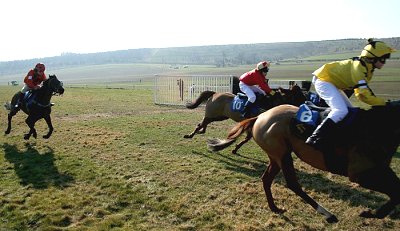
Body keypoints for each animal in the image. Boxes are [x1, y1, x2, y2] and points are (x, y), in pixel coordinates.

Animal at [208, 102, 400, 222]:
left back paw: (274, 207)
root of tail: (260, 116)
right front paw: (370, 213)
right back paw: (328, 214)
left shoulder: (381, 169)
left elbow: (396, 190)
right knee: (293, 184)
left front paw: (375, 213)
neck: (376, 128)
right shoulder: (361, 174)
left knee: (267, 179)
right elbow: (396, 192)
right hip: (282, 154)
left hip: (276, 157)